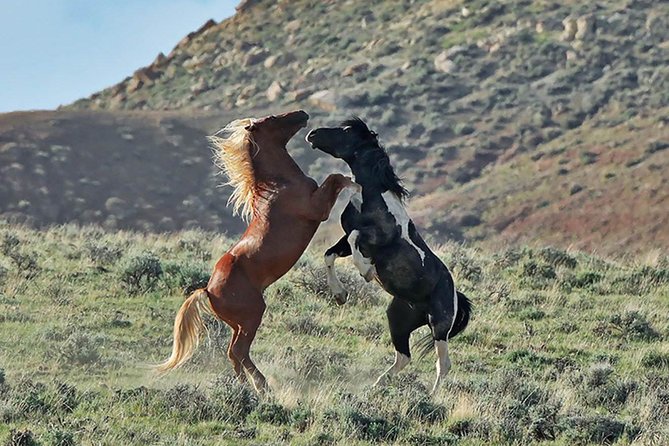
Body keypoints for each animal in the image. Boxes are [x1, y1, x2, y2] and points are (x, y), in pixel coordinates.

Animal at [157, 110, 358, 390]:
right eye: (272, 118)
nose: (302, 114)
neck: (278, 185)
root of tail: (208, 290)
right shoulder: (317, 208)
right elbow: (335, 178)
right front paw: (356, 185)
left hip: (238, 324)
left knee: (233, 353)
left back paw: (245, 385)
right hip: (252, 317)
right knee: (239, 351)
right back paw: (262, 386)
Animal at [306, 118, 470, 394]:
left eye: (346, 131)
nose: (312, 133)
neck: (371, 196)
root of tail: (456, 293)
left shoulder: (374, 238)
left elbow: (356, 242)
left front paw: (366, 271)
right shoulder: (347, 237)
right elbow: (329, 254)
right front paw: (340, 294)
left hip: (439, 325)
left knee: (443, 364)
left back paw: (431, 395)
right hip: (398, 319)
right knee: (404, 356)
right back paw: (377, 385)